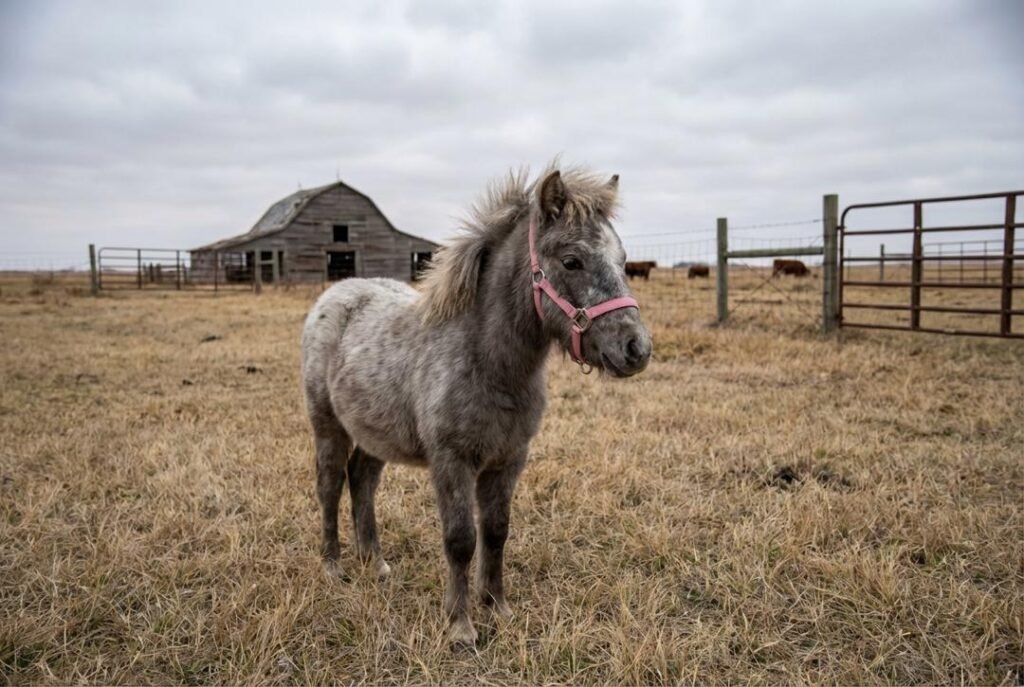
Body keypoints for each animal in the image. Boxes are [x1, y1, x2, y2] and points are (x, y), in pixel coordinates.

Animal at [301, 164, 652, 646]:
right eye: (571, 261)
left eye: (622, 260)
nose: (636, 348)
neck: (488, 363)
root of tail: (334, 295)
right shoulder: (452, 461)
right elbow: (461, 539)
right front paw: (460, 626)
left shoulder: (509, 459)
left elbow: (497, 532)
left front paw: (497, 607)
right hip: (327, 427)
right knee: (331, 484)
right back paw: (333, 565)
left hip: (375, 436)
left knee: (363, 481)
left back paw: (375, 563)